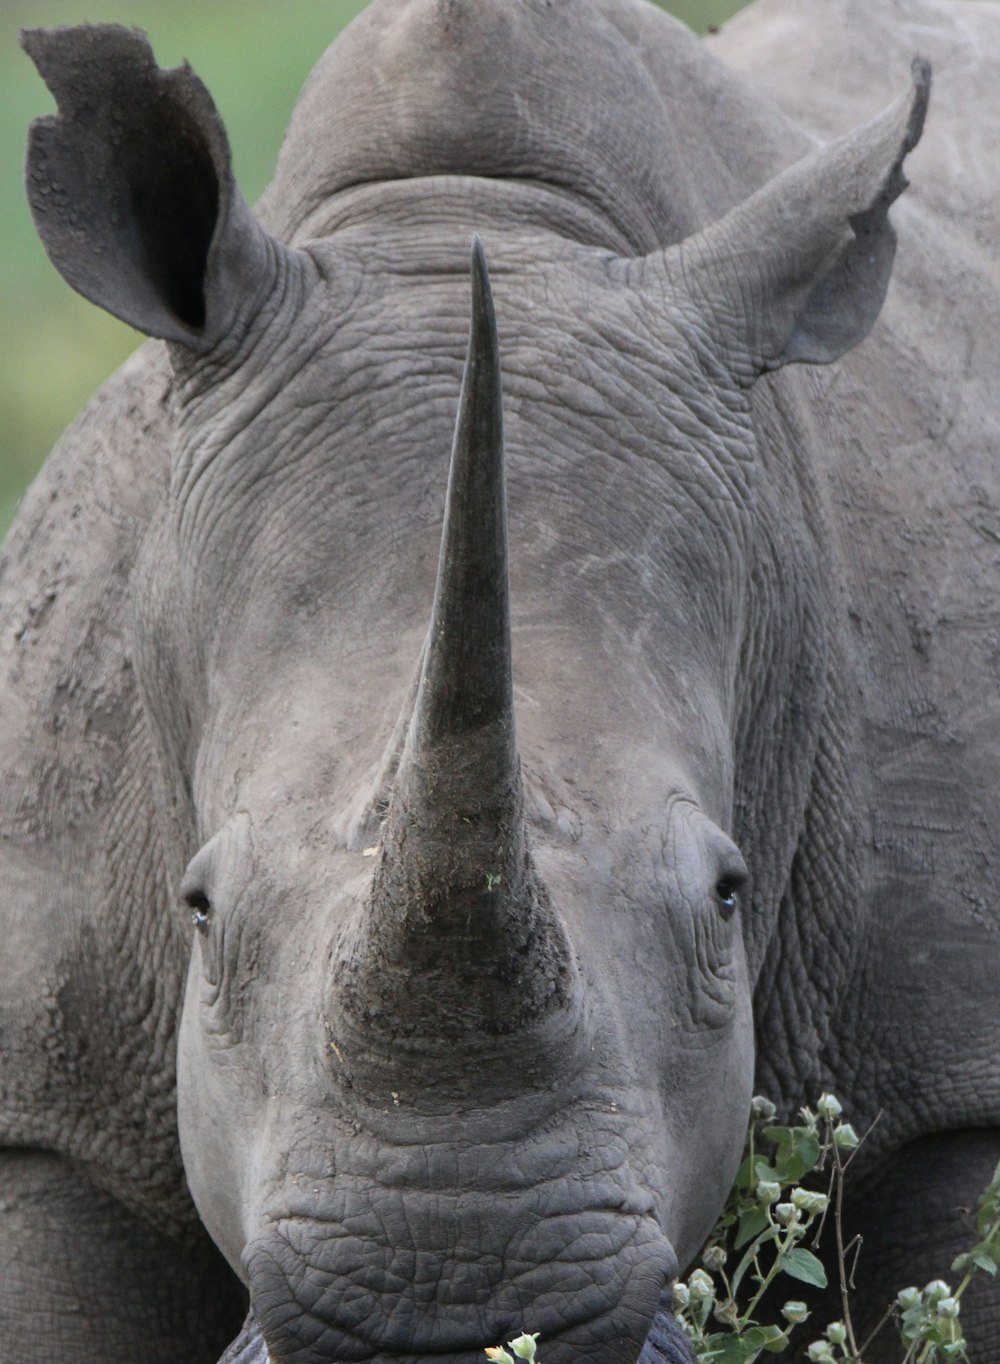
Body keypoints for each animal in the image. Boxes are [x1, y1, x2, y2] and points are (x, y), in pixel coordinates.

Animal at [1, 0, 998, 1358]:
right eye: (199, 910)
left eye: (726, 897)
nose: (447, 1285)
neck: (469, 211)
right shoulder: (51, 1112)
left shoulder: (955, 1065)